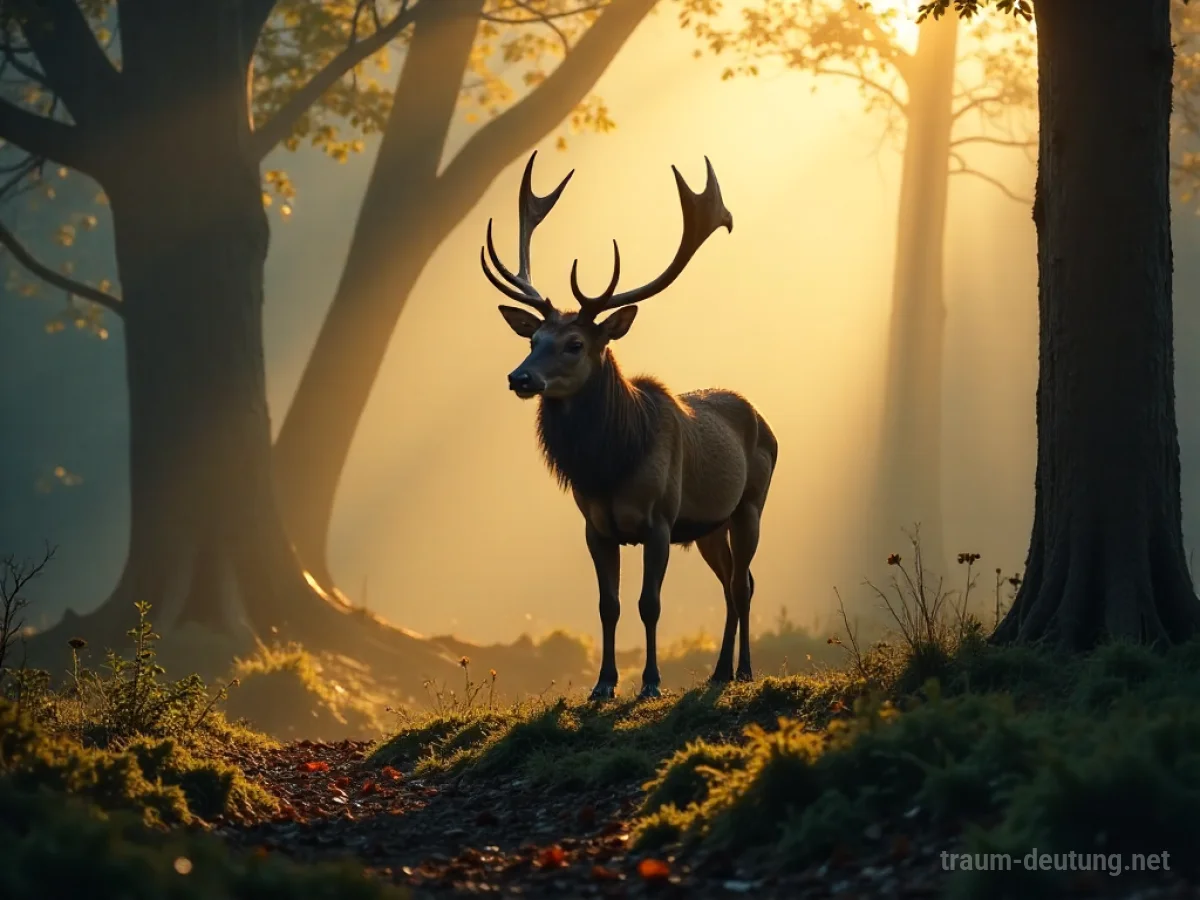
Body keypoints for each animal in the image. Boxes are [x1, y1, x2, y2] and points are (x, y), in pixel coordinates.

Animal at [480, 151, 777, 701]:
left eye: (575, 344)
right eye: (533, 339)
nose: (519, 377)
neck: (610, 466)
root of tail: (763, 420)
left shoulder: (660, 519)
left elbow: (649, 603)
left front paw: (651, 682)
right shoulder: (596, 526)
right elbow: (608, 605)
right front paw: (603, 685)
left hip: (751, 504)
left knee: (744, 582)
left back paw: (744, 669)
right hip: (710, 525)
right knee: (730, 582)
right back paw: (720, 670)